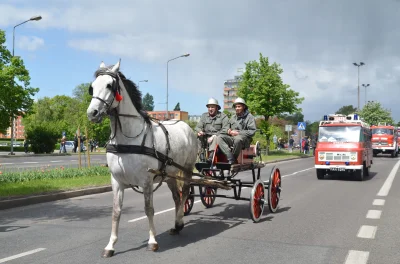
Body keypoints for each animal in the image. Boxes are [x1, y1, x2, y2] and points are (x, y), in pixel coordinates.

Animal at [88, 58, 199, 256]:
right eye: (92, 87)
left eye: (109, 85)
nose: (91, 113)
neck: (127, 139)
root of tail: (186, 126)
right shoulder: (117, 181)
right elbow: (116, 212)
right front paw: (110, 245)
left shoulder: (146, 181)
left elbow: (149, 210)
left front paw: (152, 241)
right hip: (170, 175)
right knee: (177, 197)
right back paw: (176, 226)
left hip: (186, 170)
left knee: (185, 193)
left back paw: (179, 221)